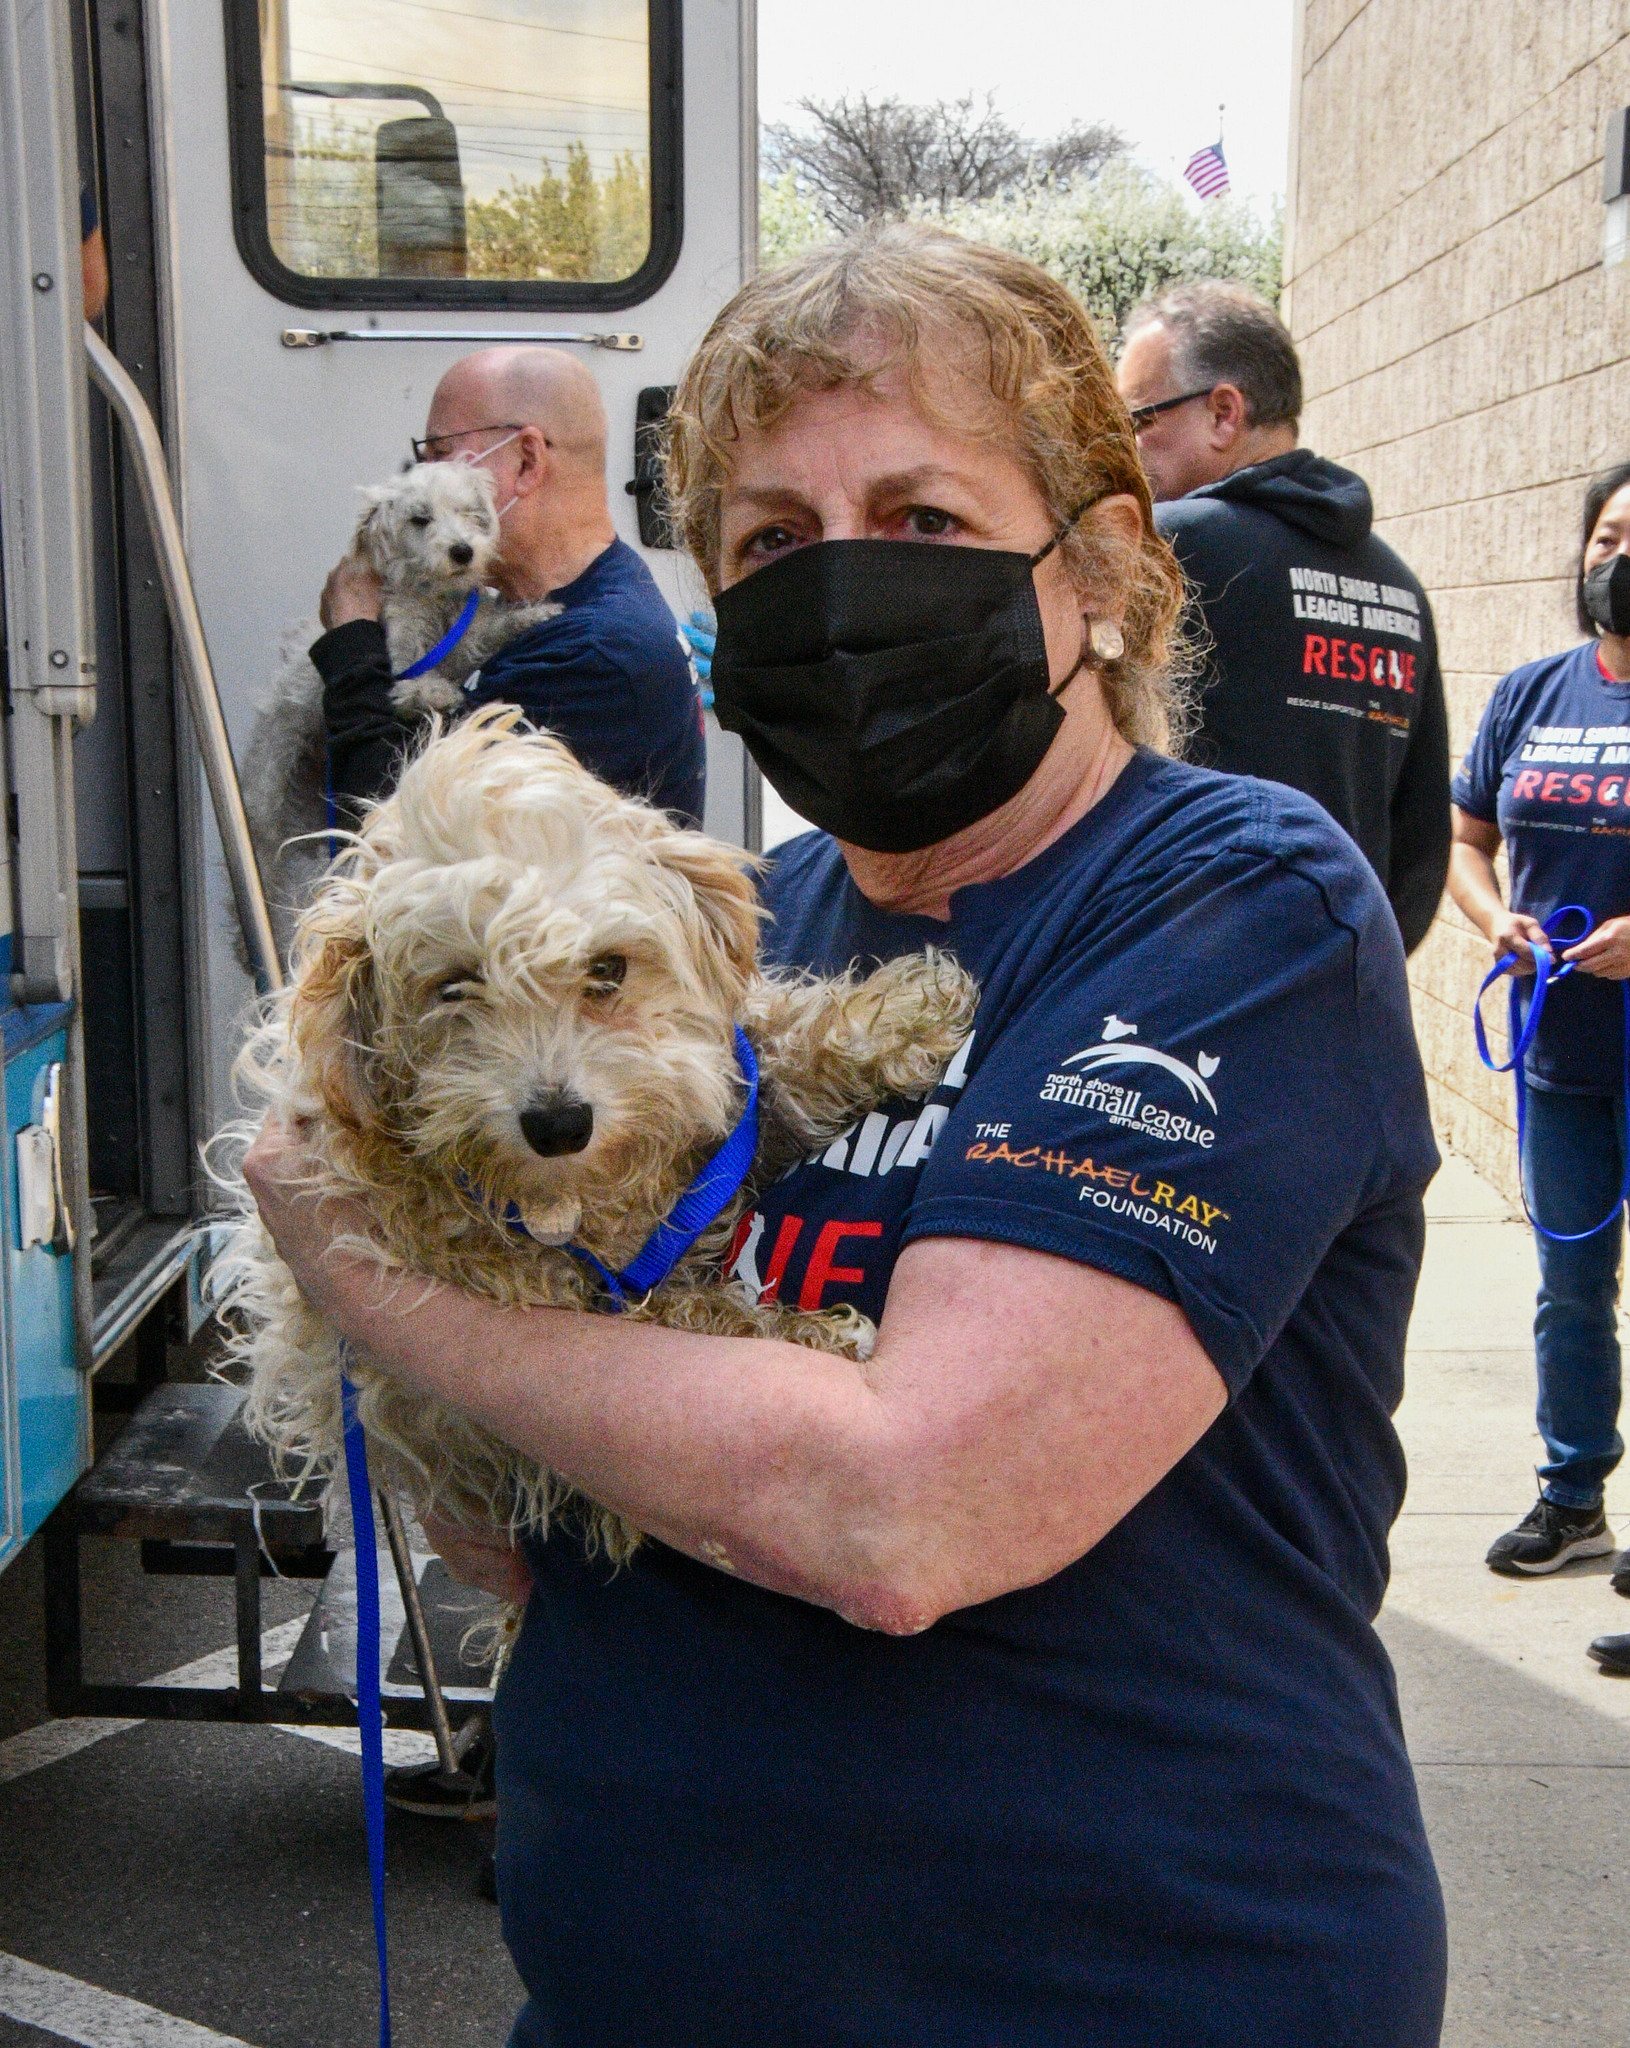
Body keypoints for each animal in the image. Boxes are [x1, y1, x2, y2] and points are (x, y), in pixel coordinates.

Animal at [220, 704, 978, 1548]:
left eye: (607, 969)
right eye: (454, 987)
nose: (558, 1123)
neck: (584, 1195)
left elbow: (772, 1054)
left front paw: (900, 1014)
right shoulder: (538, 1288)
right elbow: (681, 1316)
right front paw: (816, 1334)